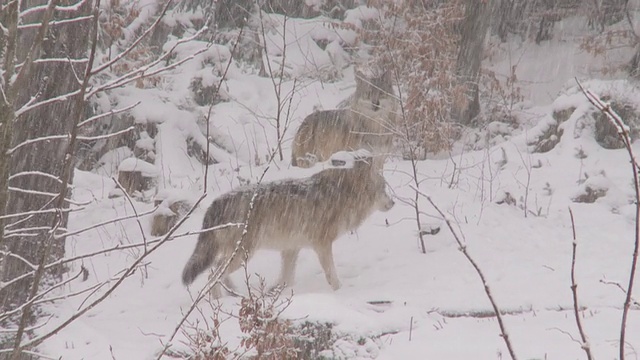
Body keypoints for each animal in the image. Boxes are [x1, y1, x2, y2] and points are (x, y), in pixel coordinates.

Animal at [180, 150, 396, 296]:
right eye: (385, 187)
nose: (393, 202)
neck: (344, 193)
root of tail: (216, 203)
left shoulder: (291, 249)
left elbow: (286, 279)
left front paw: (273, 293)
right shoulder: (322, 245)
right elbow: (331, 276)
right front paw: (340, 292)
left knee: (216, 271)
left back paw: (233, 292)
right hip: (243, 254)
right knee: (212, 274)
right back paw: (217, 300)